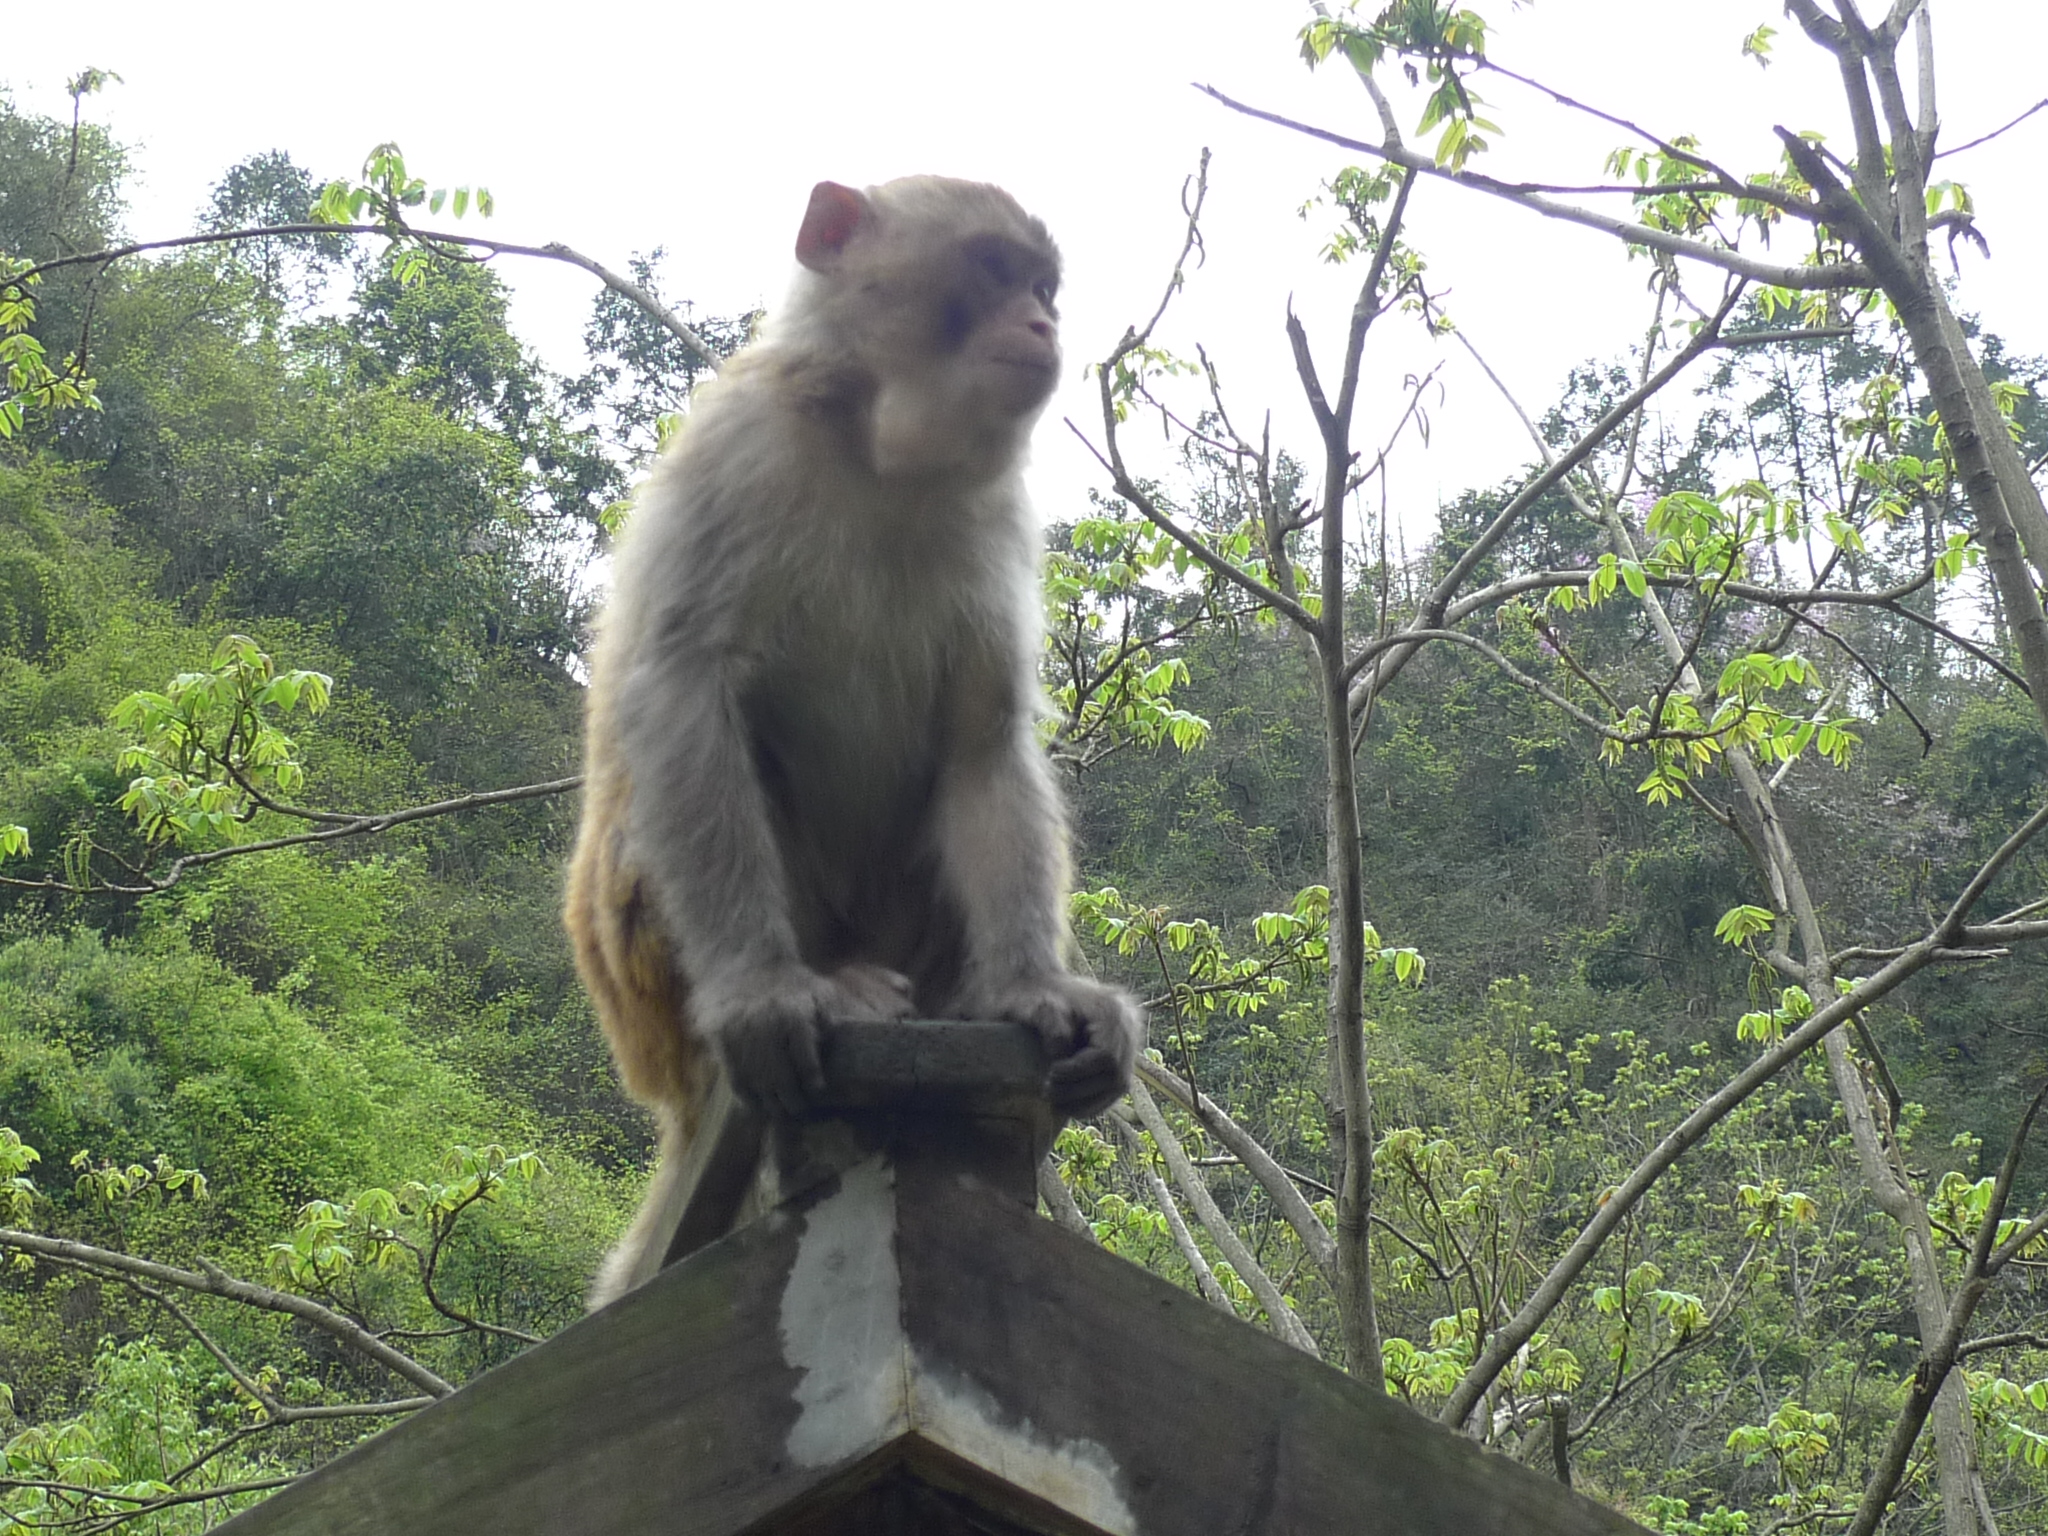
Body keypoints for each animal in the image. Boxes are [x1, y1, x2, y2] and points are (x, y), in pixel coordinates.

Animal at [569, 180, 1146, 1310]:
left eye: (1043, 286)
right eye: (993, 270)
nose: (1043, 325)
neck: (888, 456)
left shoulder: (996, 516)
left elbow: (981, 744)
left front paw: (1029, 988)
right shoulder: (739, 443)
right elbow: (684, 685)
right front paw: (759, 991)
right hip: (643, 959)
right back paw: (818, 984)